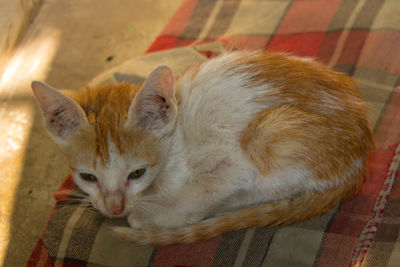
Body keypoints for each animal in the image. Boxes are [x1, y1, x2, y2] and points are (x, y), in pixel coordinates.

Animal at [32, 51, 374, 246]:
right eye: (88, 177)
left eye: (137, 173)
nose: (114, 209)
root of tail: (361, 159)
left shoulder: (233, 168)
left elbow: (200, 196)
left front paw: (152, 216)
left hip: (270, 134)